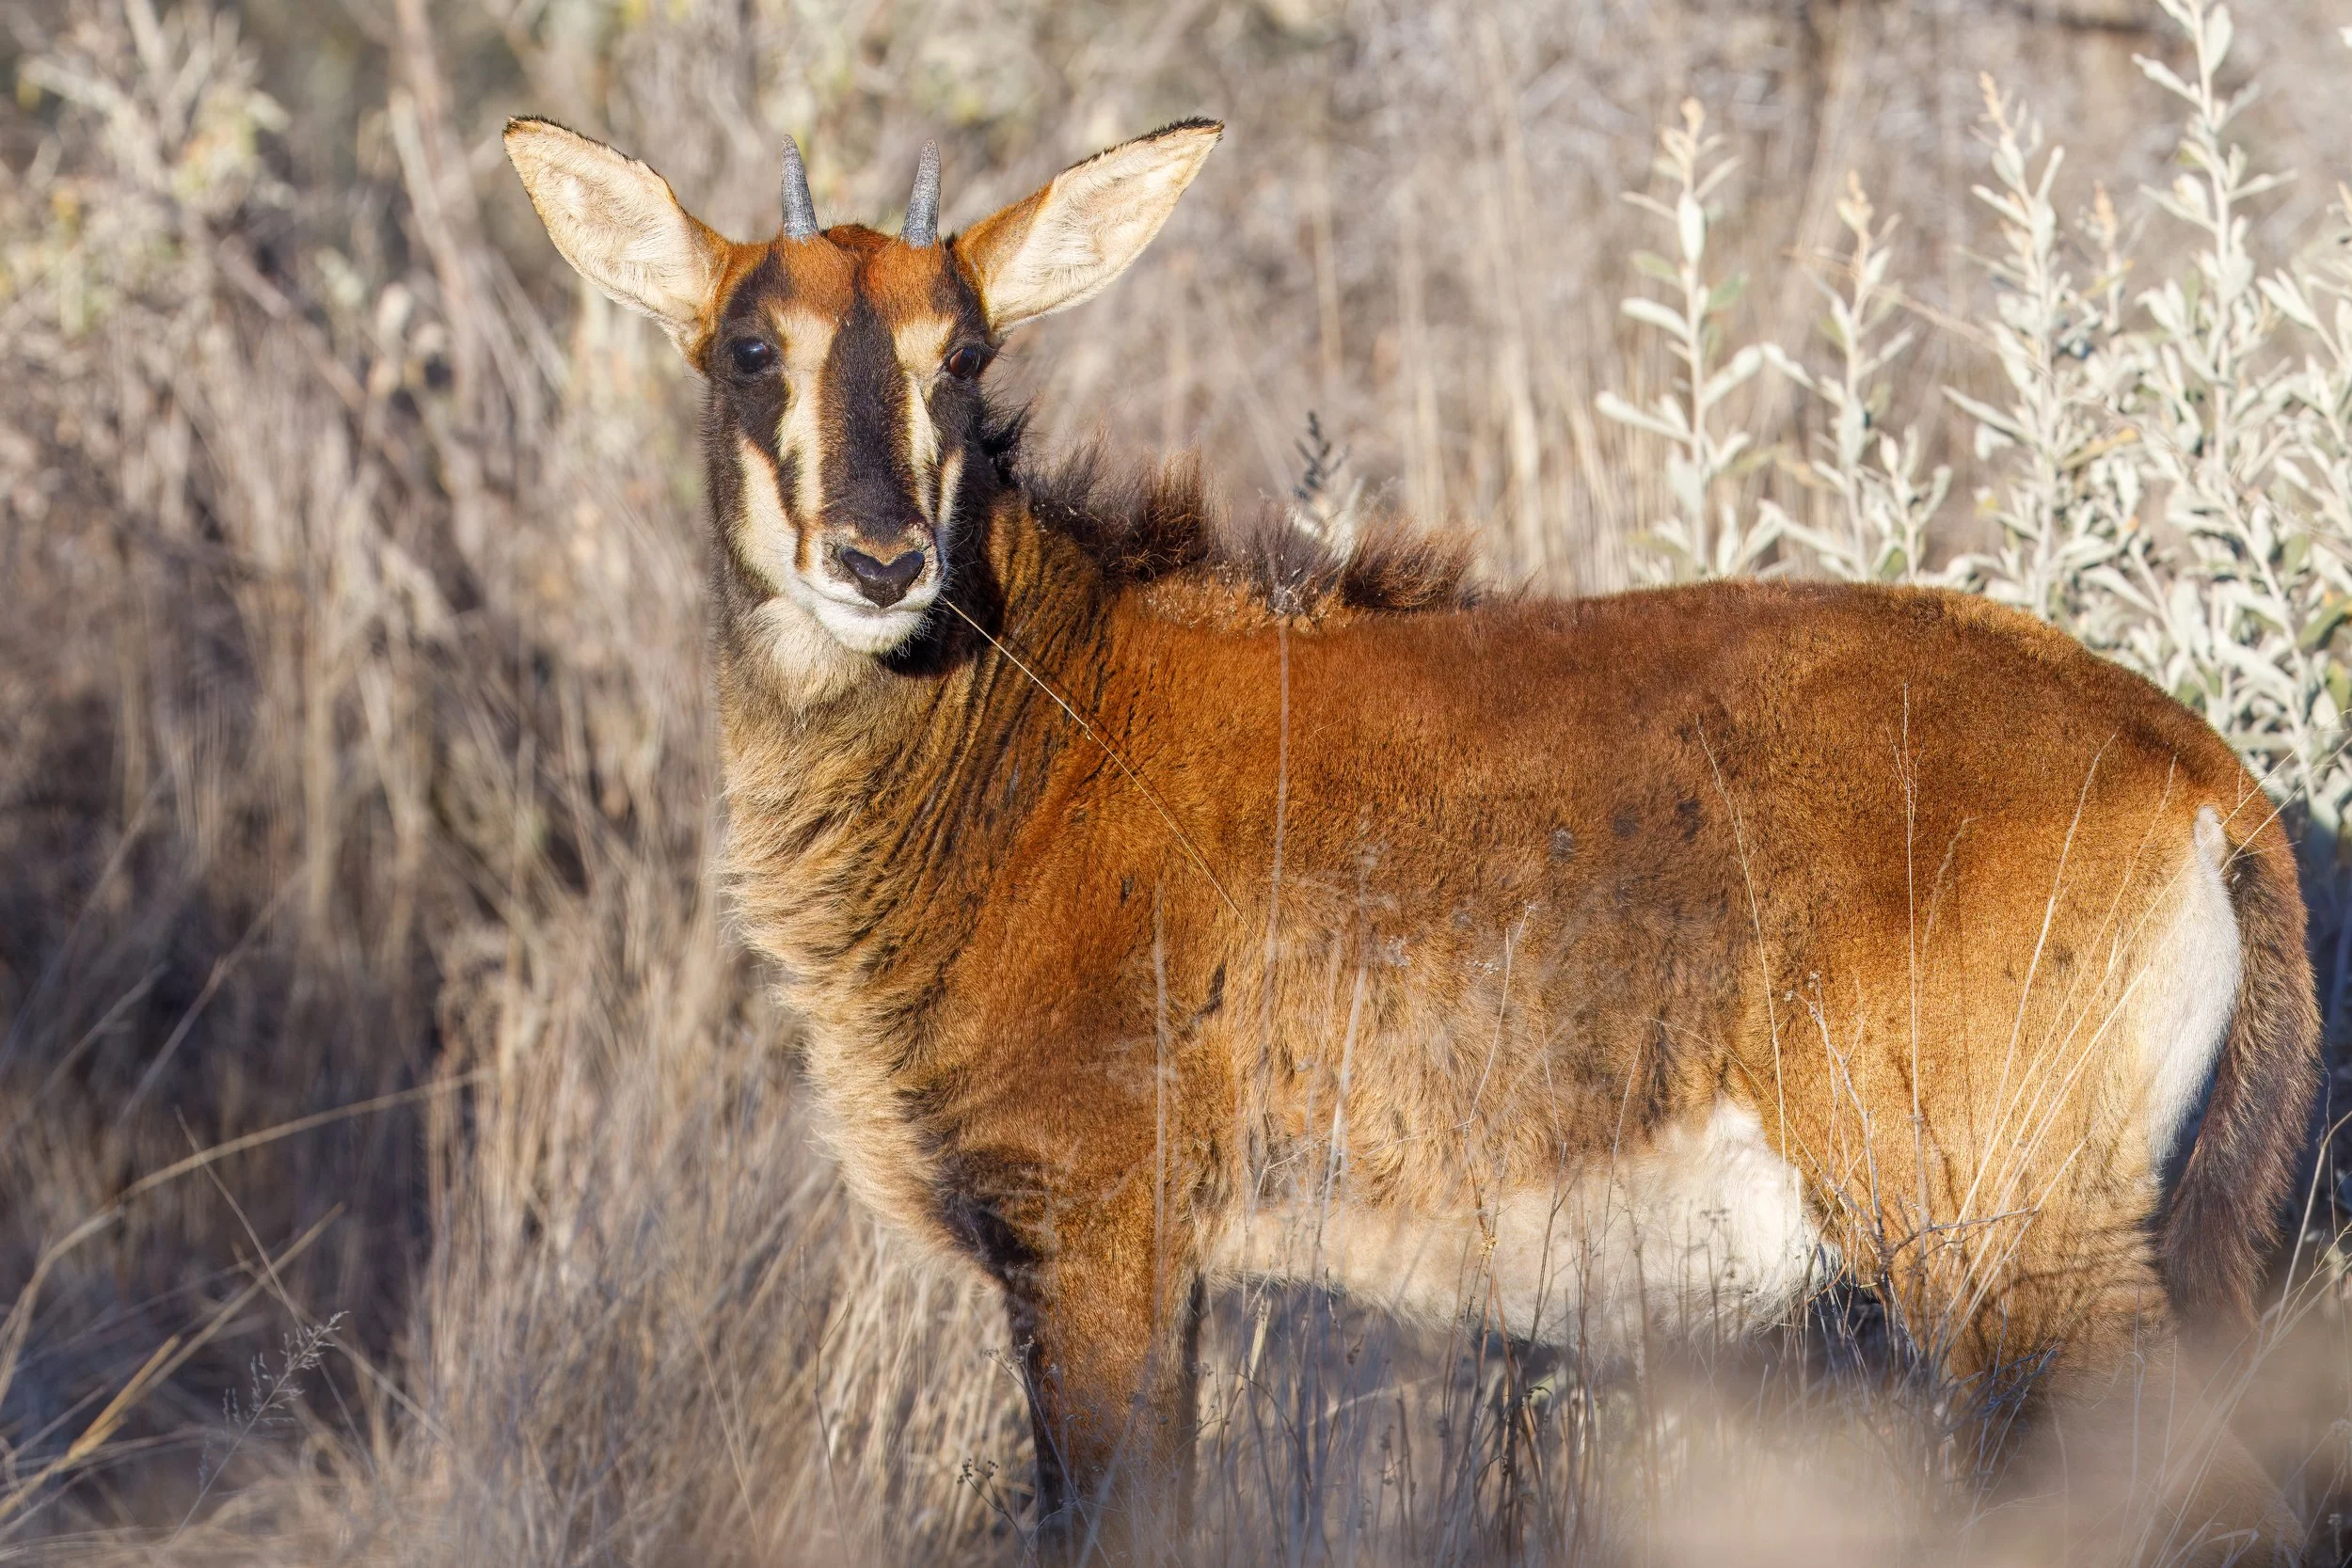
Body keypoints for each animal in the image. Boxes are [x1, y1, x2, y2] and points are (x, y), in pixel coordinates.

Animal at [505, 117, 2320, 1560]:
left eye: (965, 353)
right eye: (751, 348)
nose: (880, 563)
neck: (1044, 710)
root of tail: (2199, 775)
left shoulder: (1098, 1231)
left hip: (2014, 1248)